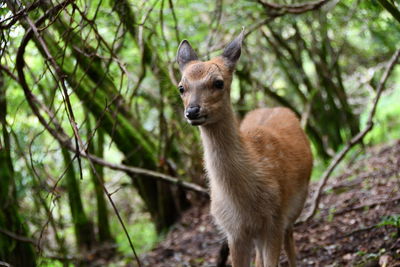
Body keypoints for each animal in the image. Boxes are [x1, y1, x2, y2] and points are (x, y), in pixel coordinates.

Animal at [177, 28, 314, 266]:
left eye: (218, 83)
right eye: (181, 87)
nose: (192, 111)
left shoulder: (274, 219)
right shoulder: (233, 231)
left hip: (294, 206)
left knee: (290, 240)